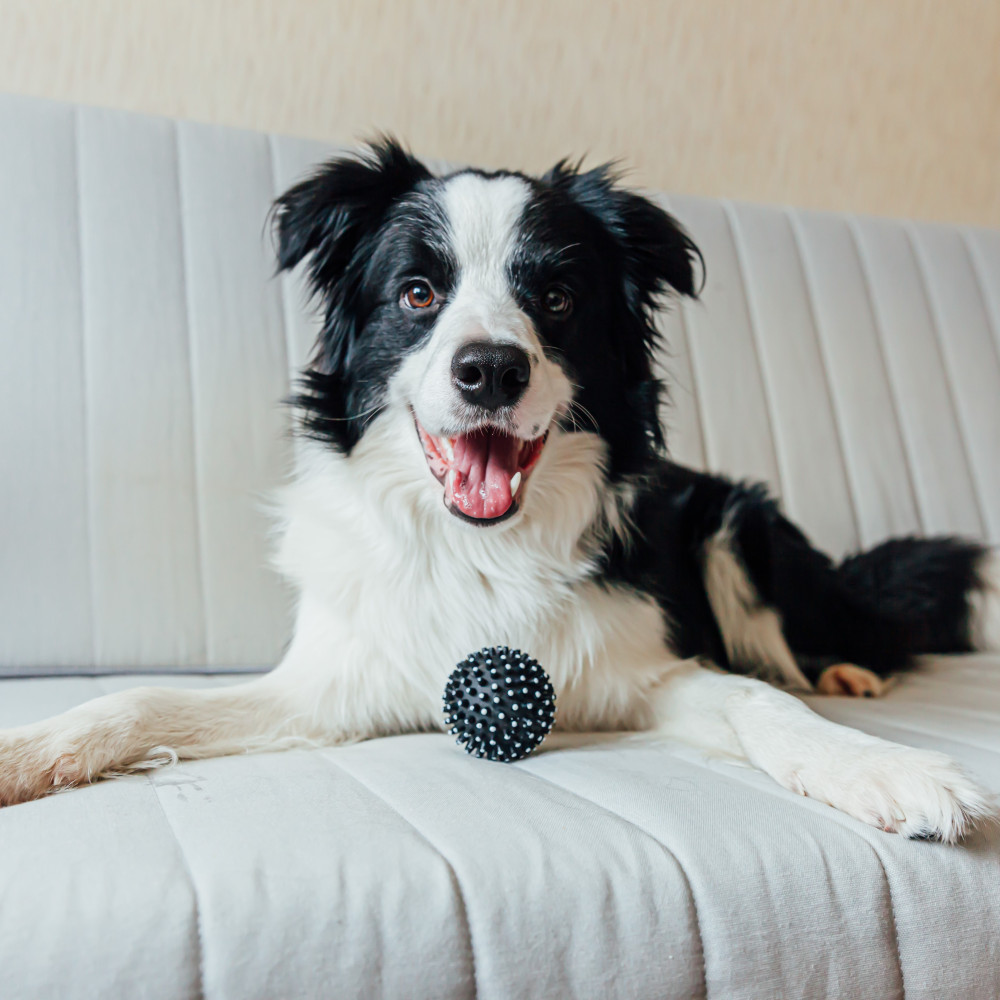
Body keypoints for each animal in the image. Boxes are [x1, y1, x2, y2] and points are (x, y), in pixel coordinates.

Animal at [1, 143, 1000, 844]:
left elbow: (762, 704)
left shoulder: (647, 670)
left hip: (735, 523)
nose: (489, 369)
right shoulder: (336, 684)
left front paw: (887, 771)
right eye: (417, 293)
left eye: (556, 299)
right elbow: (137, 702)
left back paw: (846, 672)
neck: (480, 546)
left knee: (803, 648)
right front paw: (25, 754)